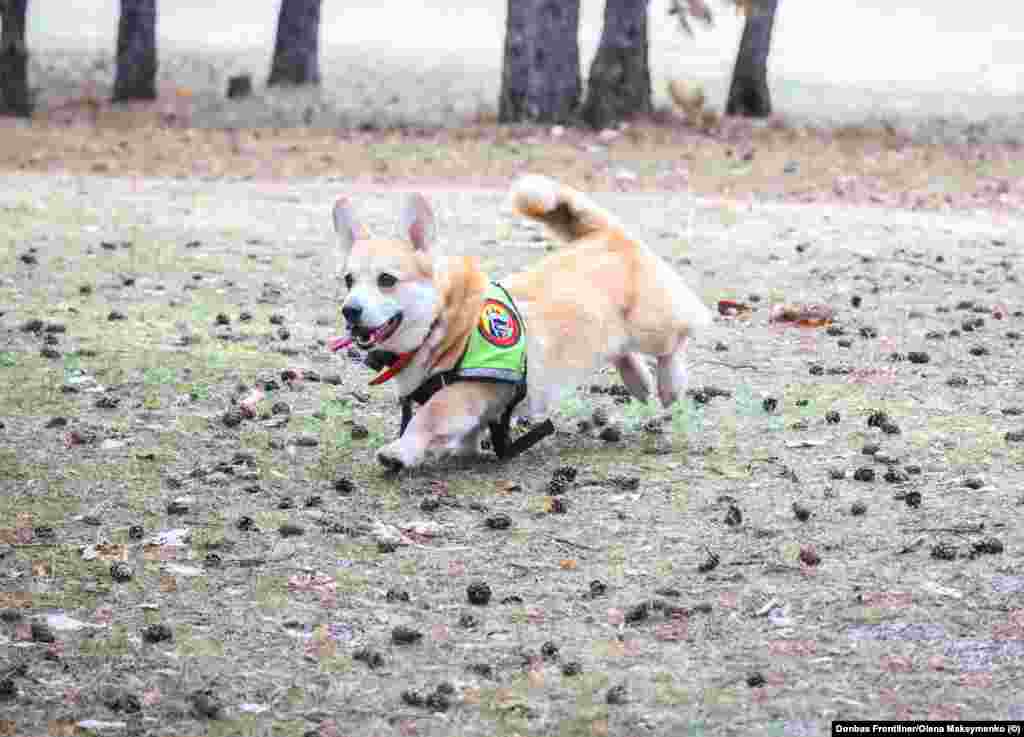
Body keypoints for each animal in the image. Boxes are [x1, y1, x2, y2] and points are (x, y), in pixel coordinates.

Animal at [327, 176, 712, 468]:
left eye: (386, 280)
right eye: (348, 281)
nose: (350, 311)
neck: (445, 321)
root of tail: (604, 234)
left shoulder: (464, 392)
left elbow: (428, 417)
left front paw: (400, 451)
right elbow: (467, 430)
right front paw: (464, 449)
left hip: (653, 326)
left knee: (676, 339)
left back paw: (669, 383)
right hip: (607, 328)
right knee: (619, 349)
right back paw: (638, 381)